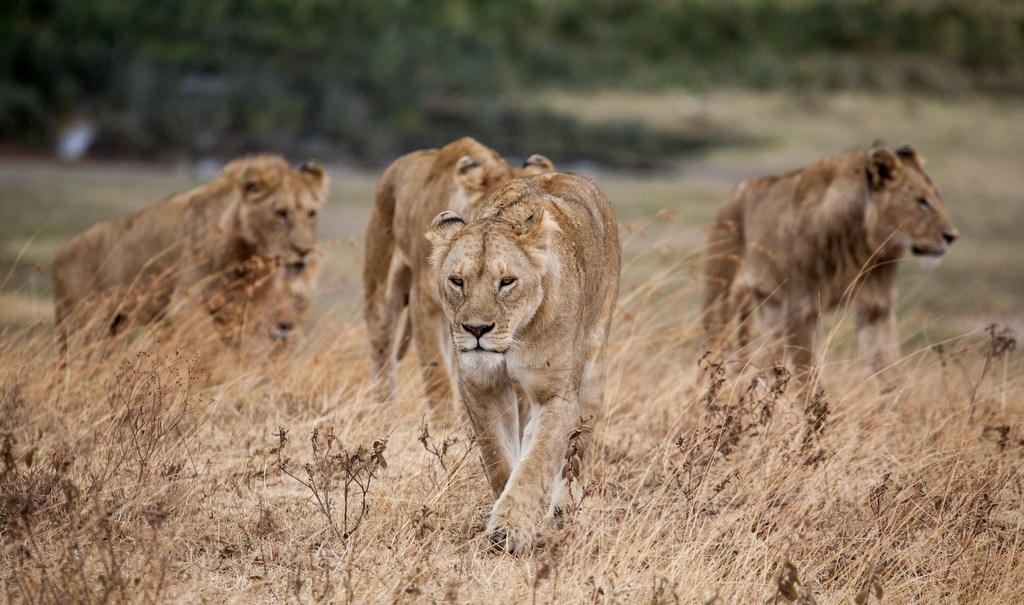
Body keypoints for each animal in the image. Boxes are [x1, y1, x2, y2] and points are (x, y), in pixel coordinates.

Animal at [52, 153, 327, 352]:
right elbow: (209, 355)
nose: (304, 250)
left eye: (311, 214)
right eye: (280, 214)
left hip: (114, 324)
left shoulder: (241, 313)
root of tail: (60, 254)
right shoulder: (185, 308)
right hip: (83, 325)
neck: (245, 258)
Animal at [360, 137, 552, 423]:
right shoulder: (425, 303)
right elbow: (436, 371)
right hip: (381, 284)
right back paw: (383, 412)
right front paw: (443, 425)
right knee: (382, 347)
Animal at [425, 171, 618, 552]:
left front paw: (510, 530)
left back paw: (562, 511)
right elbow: (499, 457)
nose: (477, 330)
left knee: (576, 451)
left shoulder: (556, 395)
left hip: (593, 368)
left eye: (507, 282)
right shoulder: (480, 386)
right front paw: (505, 510)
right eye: (457, 281)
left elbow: (537, 462)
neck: (513, 340)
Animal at [704, 144, 958, 384]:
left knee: (765, 361)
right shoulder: (801, 310)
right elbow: (809, 382)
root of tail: (735, 192)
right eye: (922, 202)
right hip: (722, 297)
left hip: (771, 307)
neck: (861, 245)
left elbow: (891, 373)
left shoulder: (877, 308)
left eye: (937, 199)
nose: (952, 236)